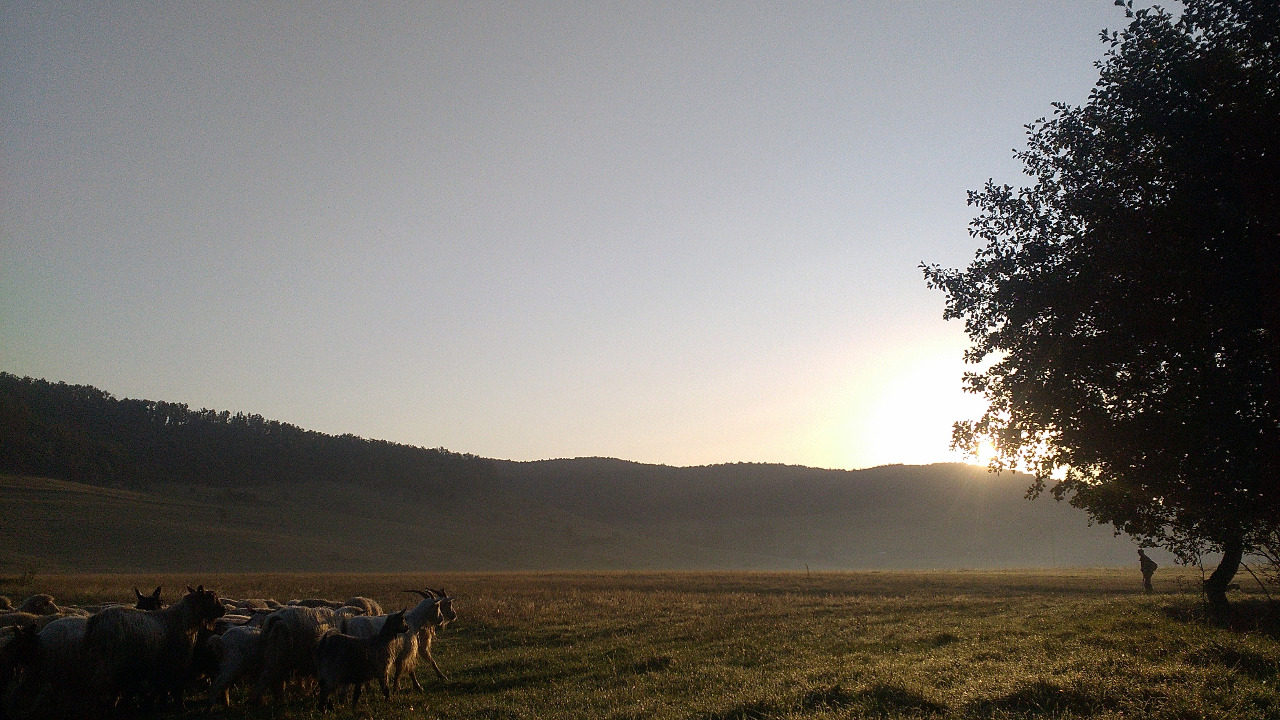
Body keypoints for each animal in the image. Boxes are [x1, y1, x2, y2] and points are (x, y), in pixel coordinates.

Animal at [82, 584, 225, 710]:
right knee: (96, 684)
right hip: (108, 659)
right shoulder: (179, 661)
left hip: (99, 659)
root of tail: (95, 620)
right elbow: (177, 686)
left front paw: (159, 704)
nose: (223, 610)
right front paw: (180, 706)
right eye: (212, 597)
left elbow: (162, 686)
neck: (185, 620)